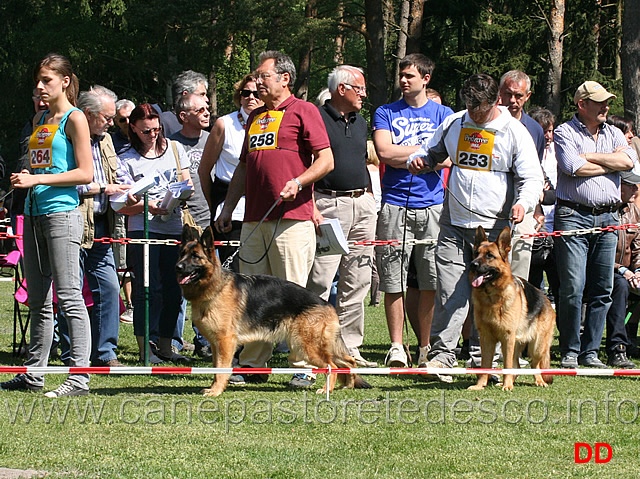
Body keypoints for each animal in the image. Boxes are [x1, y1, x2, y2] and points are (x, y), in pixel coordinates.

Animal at [176, 225, 370, 398]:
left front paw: (216, 391)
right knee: (349, 361)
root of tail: (327, 304)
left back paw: (326, 390)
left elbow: (221, 369)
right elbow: (216, 368)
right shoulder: (216, 344)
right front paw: (214, 388)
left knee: (333, 366)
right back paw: (348, 385)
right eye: (182, 253)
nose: (177, 267)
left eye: (195, 257)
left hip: (304, 346)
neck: (215, 286)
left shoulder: (225, 342)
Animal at [464, 227, 556, 392]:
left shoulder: (507, 338)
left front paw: (507, 385)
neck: (492, 298)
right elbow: (485, 364)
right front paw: (480, 385)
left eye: (490, 255)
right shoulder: (486, 339)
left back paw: (538, 381)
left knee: (534, 364)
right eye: (476, 253)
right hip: (515, 343)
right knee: (517, 366)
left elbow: (506, 365)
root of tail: (547, 300)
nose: (473, 264)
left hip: (536, 346)